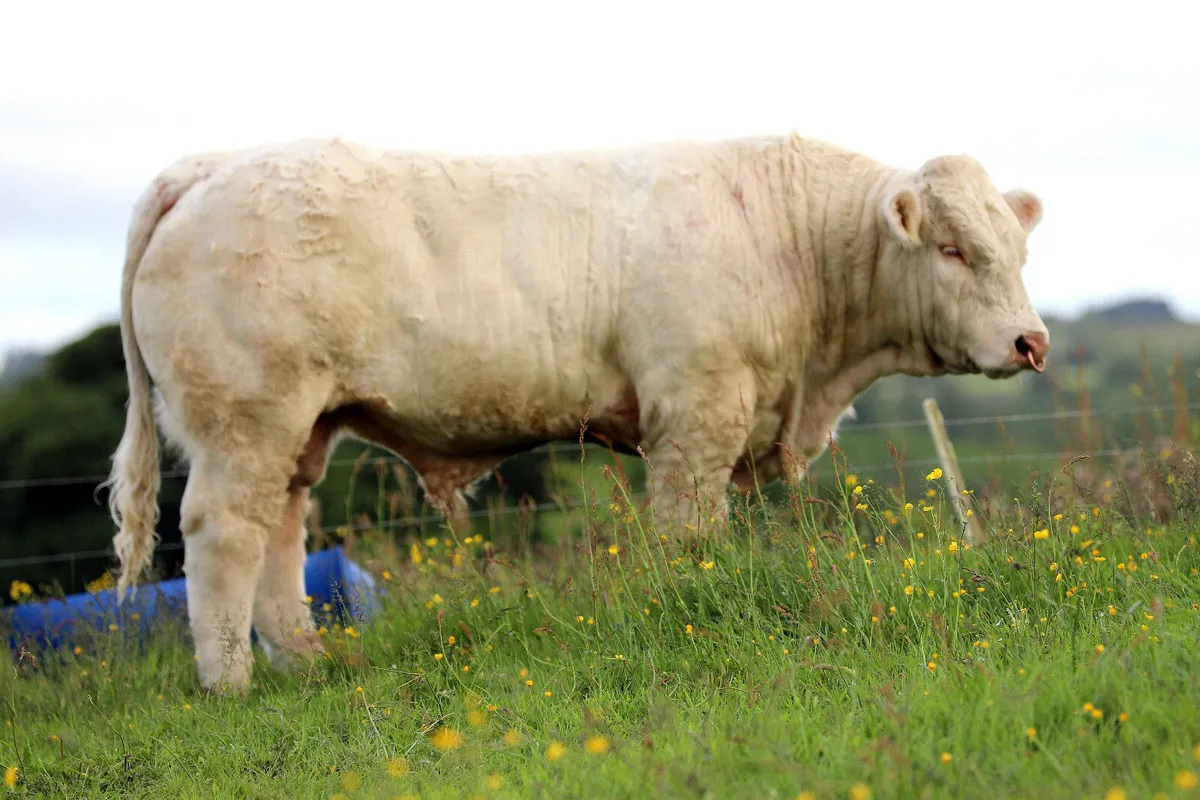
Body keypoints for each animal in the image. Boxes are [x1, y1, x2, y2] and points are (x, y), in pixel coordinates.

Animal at [102, 131, 1050, 692]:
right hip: (247, 418)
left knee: (280, 534)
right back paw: (230, 680)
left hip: (301, 427)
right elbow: (689, 537)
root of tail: (207, 168)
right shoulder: (697, 410)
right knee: (224, 533)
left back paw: (310, 661)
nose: (1032, 342)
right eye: (954, 250)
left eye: (1016, 248)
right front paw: (689, 608)